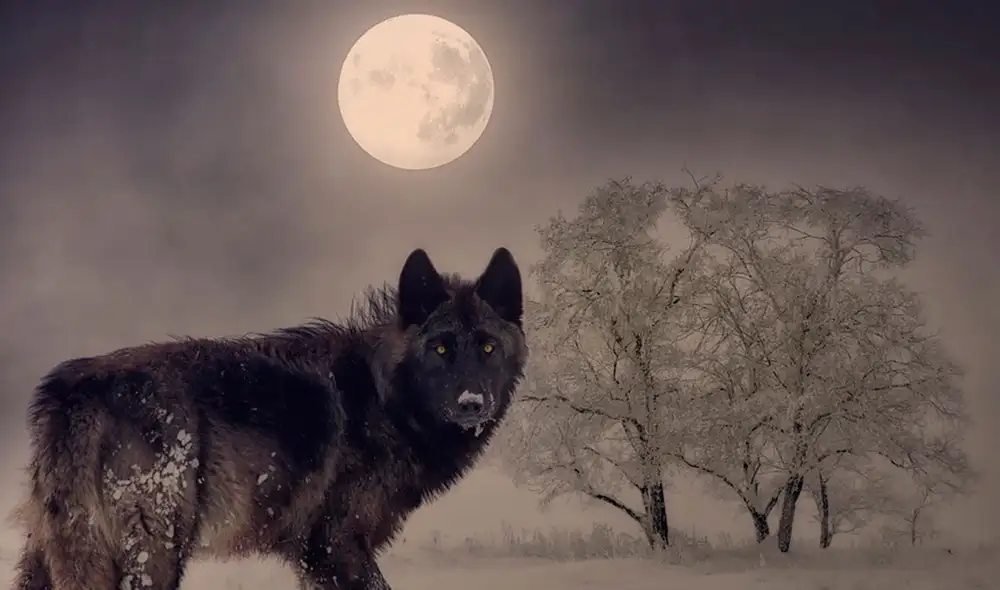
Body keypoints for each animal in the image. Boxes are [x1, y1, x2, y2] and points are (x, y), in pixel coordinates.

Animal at [10, 247, 527, 590]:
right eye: (440, 349)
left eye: (487, 347)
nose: (471, 403)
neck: (384, 397)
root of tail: (73, 390)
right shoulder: (333, 545)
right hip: (154, 551)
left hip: (49, 554)